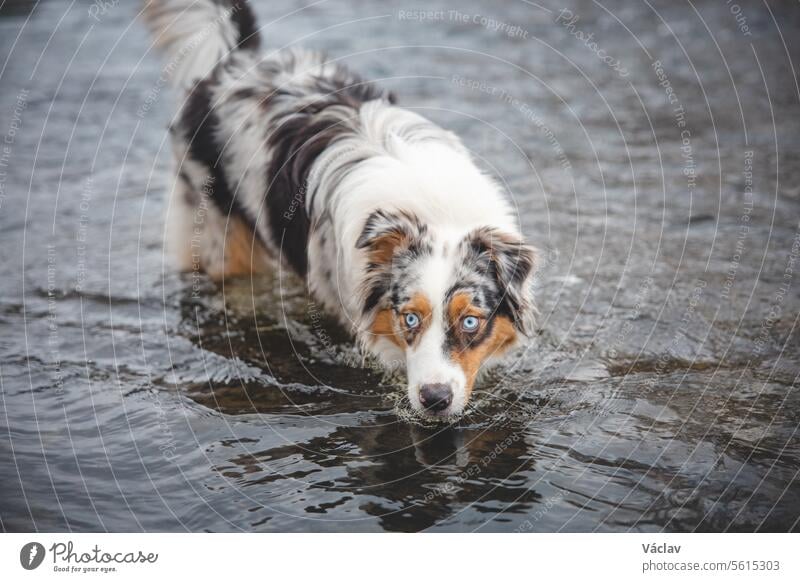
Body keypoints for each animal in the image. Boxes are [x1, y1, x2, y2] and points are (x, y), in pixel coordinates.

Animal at [147, 0, 540, 418]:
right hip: (217, 234)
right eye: (409, 317)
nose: (435, 400)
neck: (437, 215)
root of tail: (236, 59)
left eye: (469, 322)